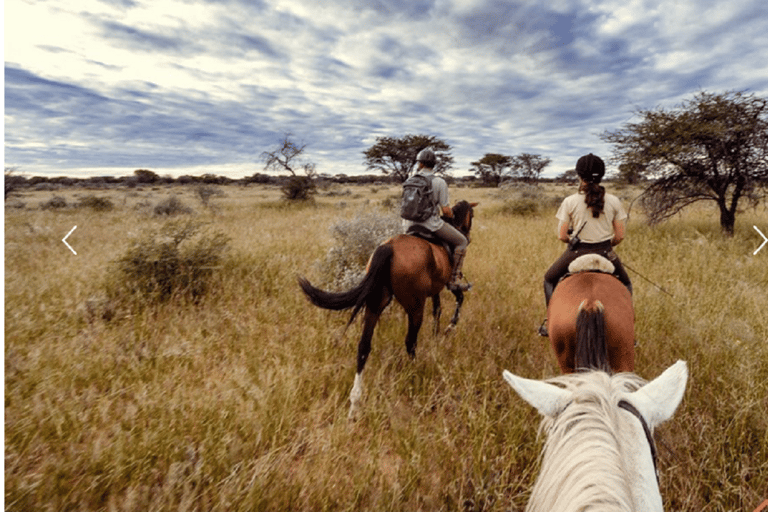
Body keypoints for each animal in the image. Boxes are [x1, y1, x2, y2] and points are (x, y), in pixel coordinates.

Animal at [298, 200, 477, 420]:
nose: (468, 236)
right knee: (410, 342)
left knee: (363, 347)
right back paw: (415, 372)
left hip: (375, 304)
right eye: (472, 215)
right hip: (415, 306)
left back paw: (355, 403)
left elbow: (438, 311)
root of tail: (388, 247)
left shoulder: (435, 290)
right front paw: (449, 328)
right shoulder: (447, 285)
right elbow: (458, 300)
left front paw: (437, 336)